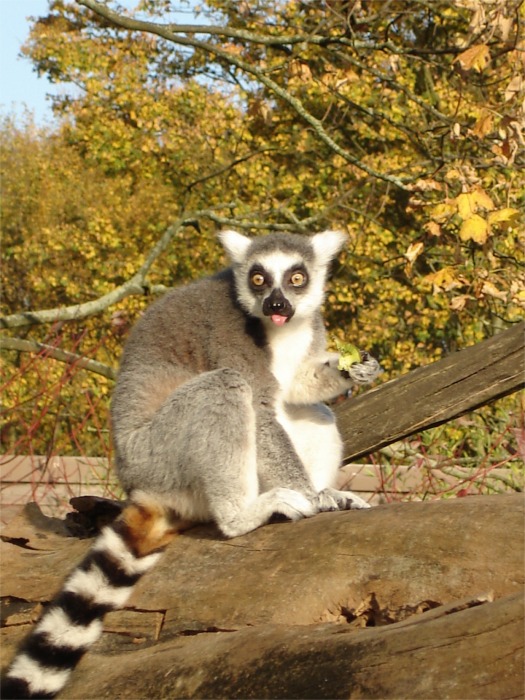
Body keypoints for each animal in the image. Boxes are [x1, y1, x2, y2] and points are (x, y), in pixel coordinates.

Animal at [2, 229, 381, 698]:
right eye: (258, 279)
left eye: (296, 278)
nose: (276, 306)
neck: (282, 332)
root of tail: (137, 483)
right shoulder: (228, 334)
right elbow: (260, 407)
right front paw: (314, 498)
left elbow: (295, 389)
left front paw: (356, 369)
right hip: (161, 454)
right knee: (224, 387)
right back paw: (245, 514)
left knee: (315, 411)